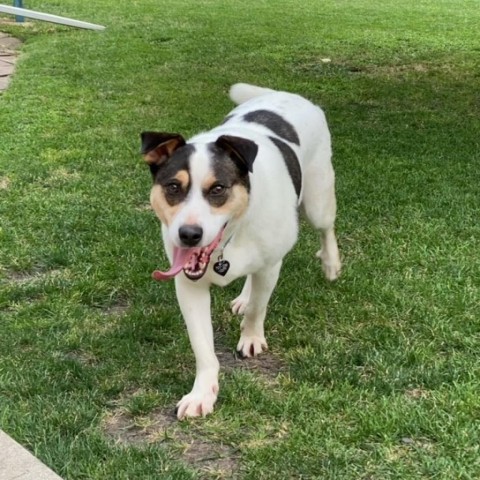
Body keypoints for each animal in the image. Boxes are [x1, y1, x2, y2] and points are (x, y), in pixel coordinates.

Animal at [140, 83, 342, 420]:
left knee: (325, 228)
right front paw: (202, 392)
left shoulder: (270, 265)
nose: (189, 235)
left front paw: (251, 338)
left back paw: (331, 263)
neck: (232, 234)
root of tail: (287, 94)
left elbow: (259, 308)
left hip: (318, 198)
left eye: (218, 189)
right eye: (173, 187)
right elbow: (202, 346)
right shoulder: (188, 284)